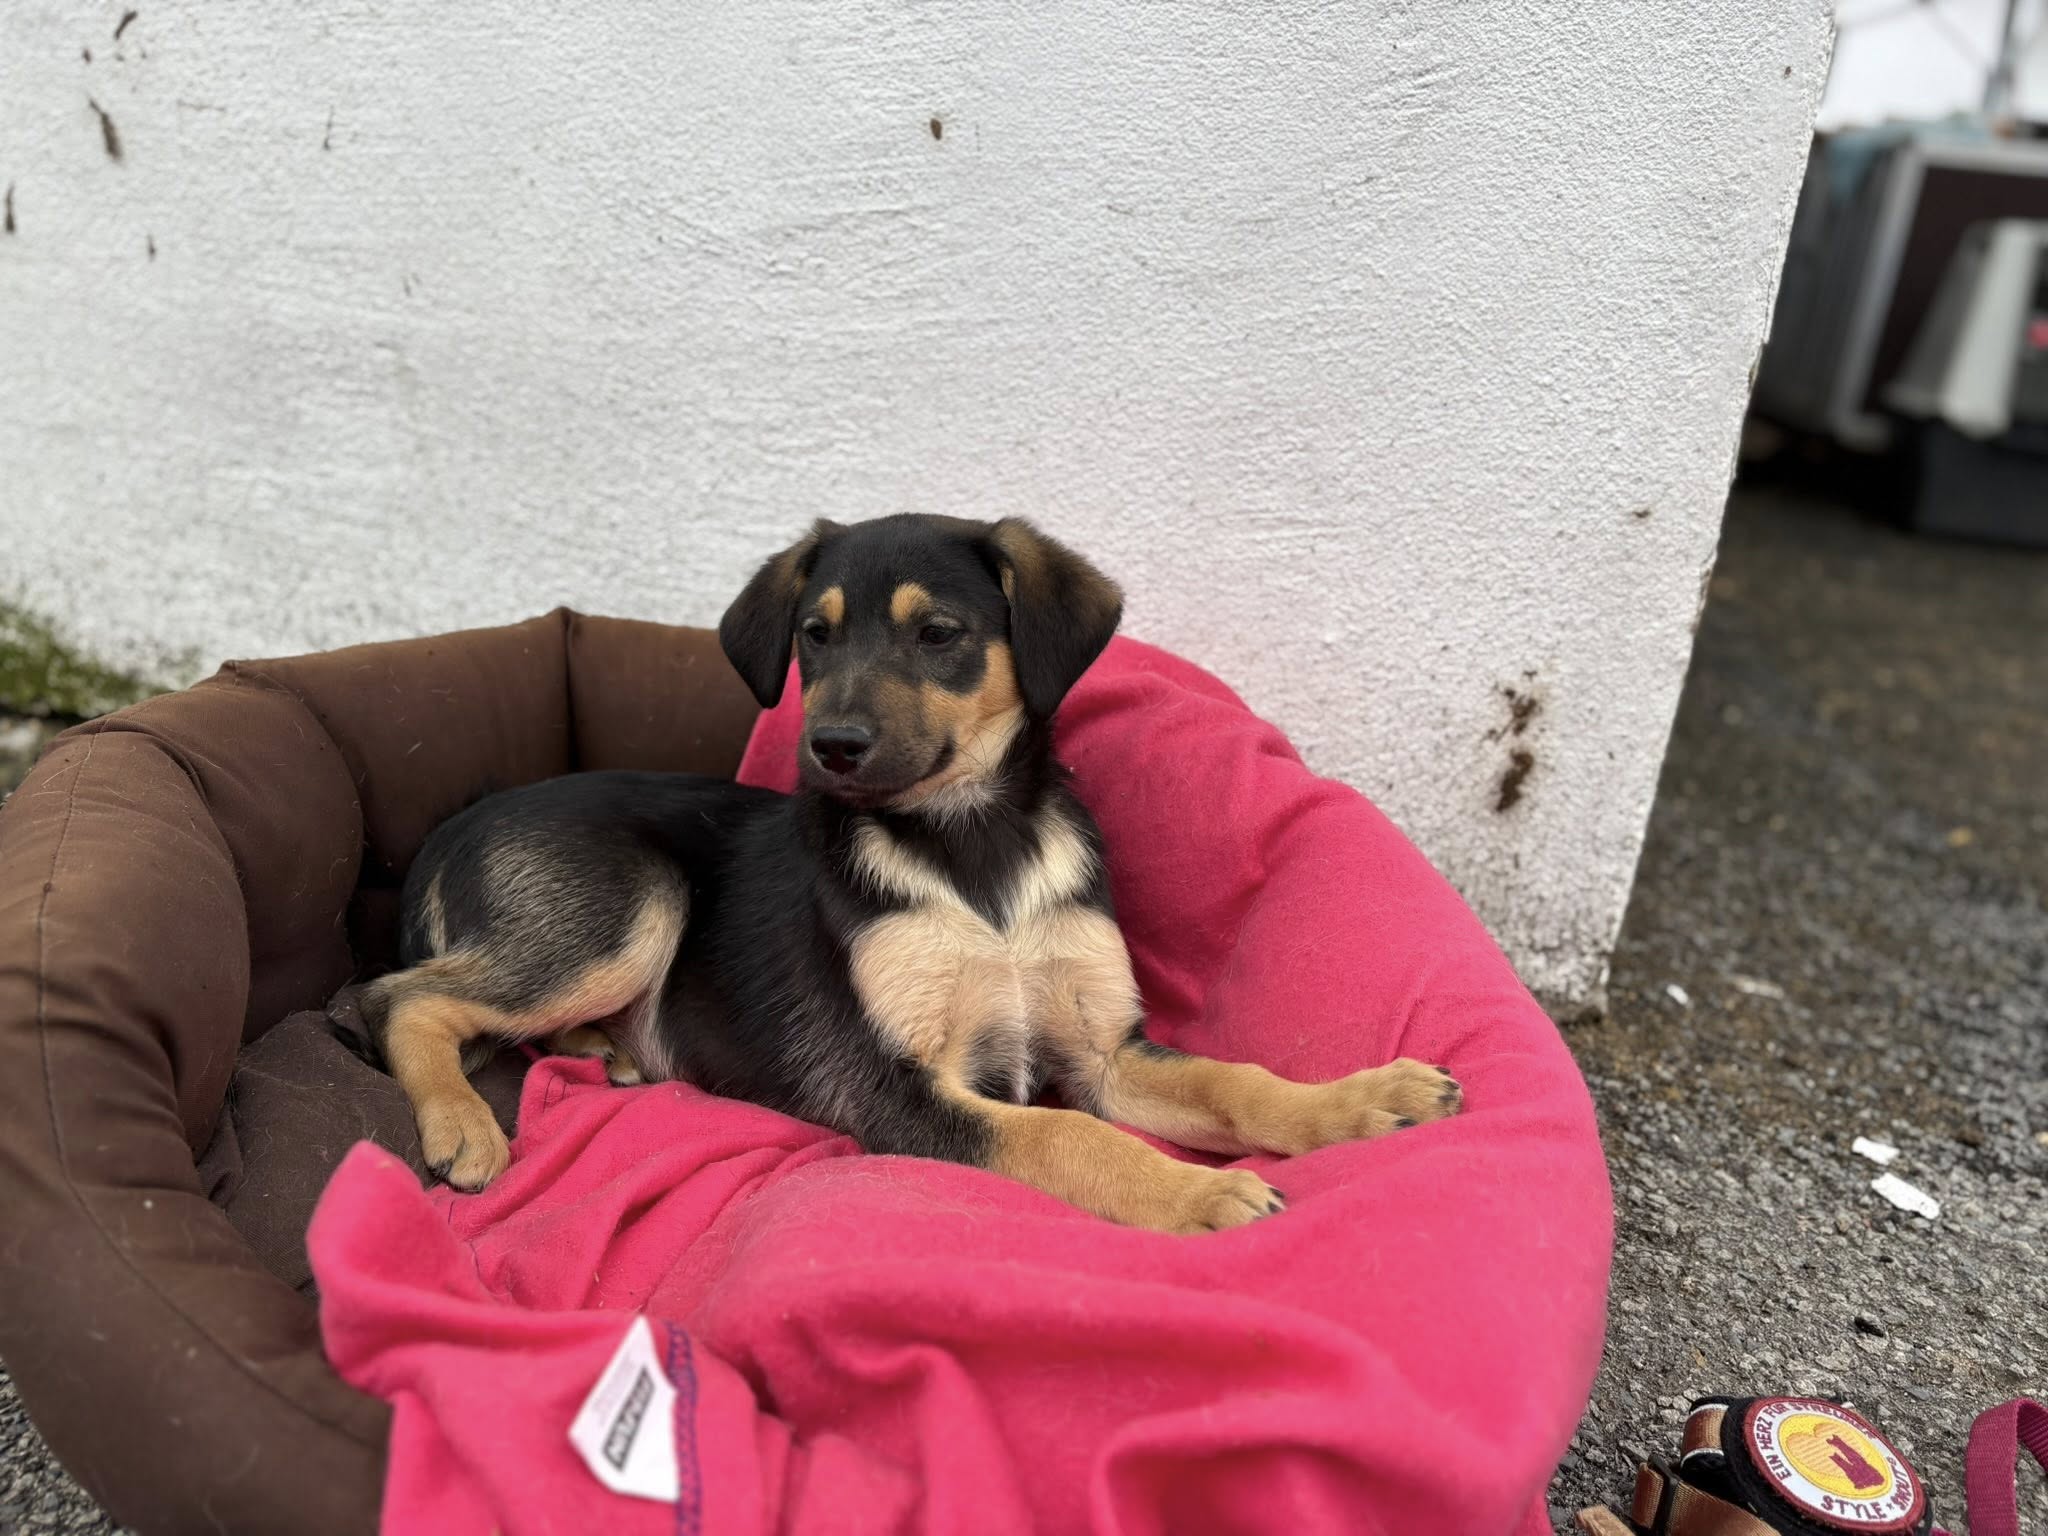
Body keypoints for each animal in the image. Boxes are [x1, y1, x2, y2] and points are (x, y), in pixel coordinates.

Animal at [362, 515, 1461, 1233]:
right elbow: (1069, 1140)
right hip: (629, 906)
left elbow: (1234, 1080)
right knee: (397, 997)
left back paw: (608, 1050)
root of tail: (453, 827)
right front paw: (1198, 1191)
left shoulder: (1105, 1052)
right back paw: (462, 1125)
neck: (968, 843)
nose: (829, 747)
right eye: (814, 635)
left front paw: (1362, 1102)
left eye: (937, 634)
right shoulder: (900, 1090)